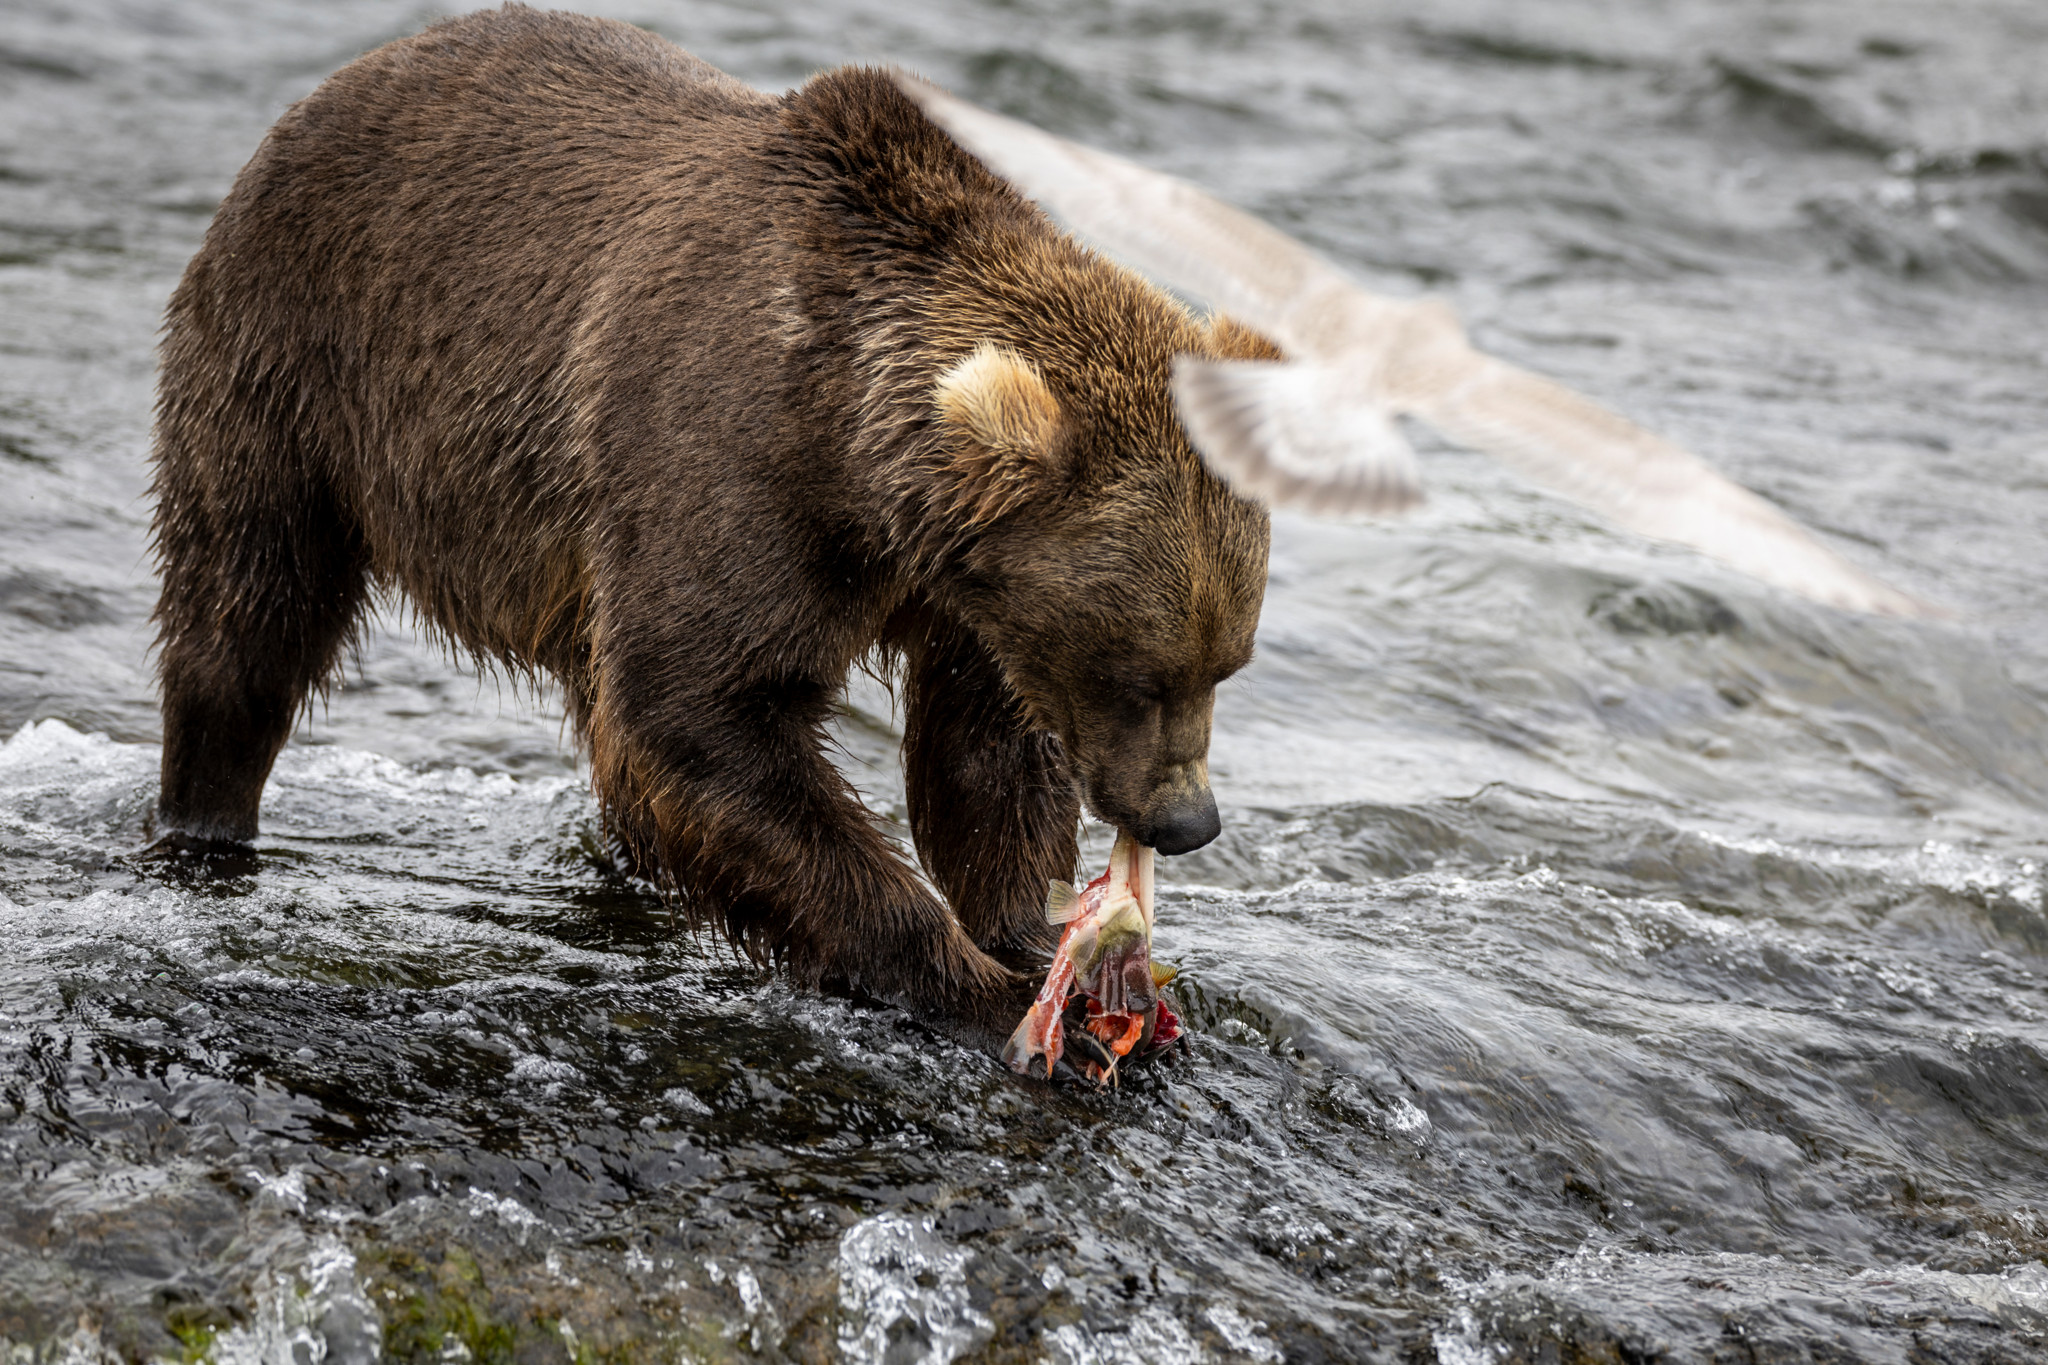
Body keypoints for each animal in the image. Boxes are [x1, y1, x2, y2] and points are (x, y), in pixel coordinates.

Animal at [148, 4, 1273, 1041]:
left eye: (1224, 665)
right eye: (1136, 671)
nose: (1186, 821)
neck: (859, 467)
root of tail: (346, 78)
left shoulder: (966, 588)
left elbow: (980, 751)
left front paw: (1043, 943)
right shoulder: (730, 464)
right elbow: (707, 712)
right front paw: (969, 982)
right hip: (295, 365)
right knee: (246, 615)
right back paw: (203, 820)